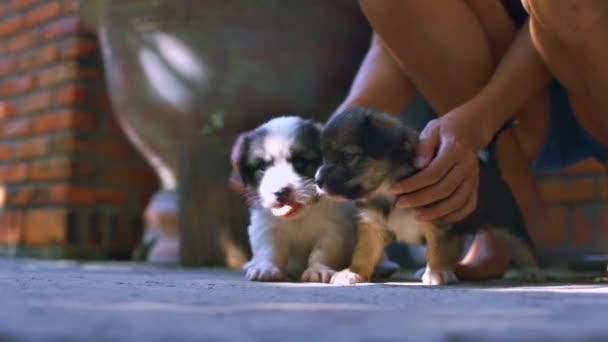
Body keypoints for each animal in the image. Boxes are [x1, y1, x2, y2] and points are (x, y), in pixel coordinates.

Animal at [233, 116, 400, 282]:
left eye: (300, 162)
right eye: (262, 166)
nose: (280, 192)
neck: (300, 216)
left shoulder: (333, 230)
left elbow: (321, 252)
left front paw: (317, 269)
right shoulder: (266, 227)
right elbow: (269, 250)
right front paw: (266, 268)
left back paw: (384, 265)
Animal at [316, 107, 544, 286]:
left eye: (347, 156)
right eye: (323, 158)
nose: (317, 181)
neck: (387, 191)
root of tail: (491, 165)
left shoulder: (438, 222)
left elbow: (437, 248)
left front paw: (436, 273)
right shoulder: (372, 226)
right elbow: (363, 251)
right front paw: (353, 272)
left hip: (509, 221)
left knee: (523, 245)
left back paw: (533, 271)